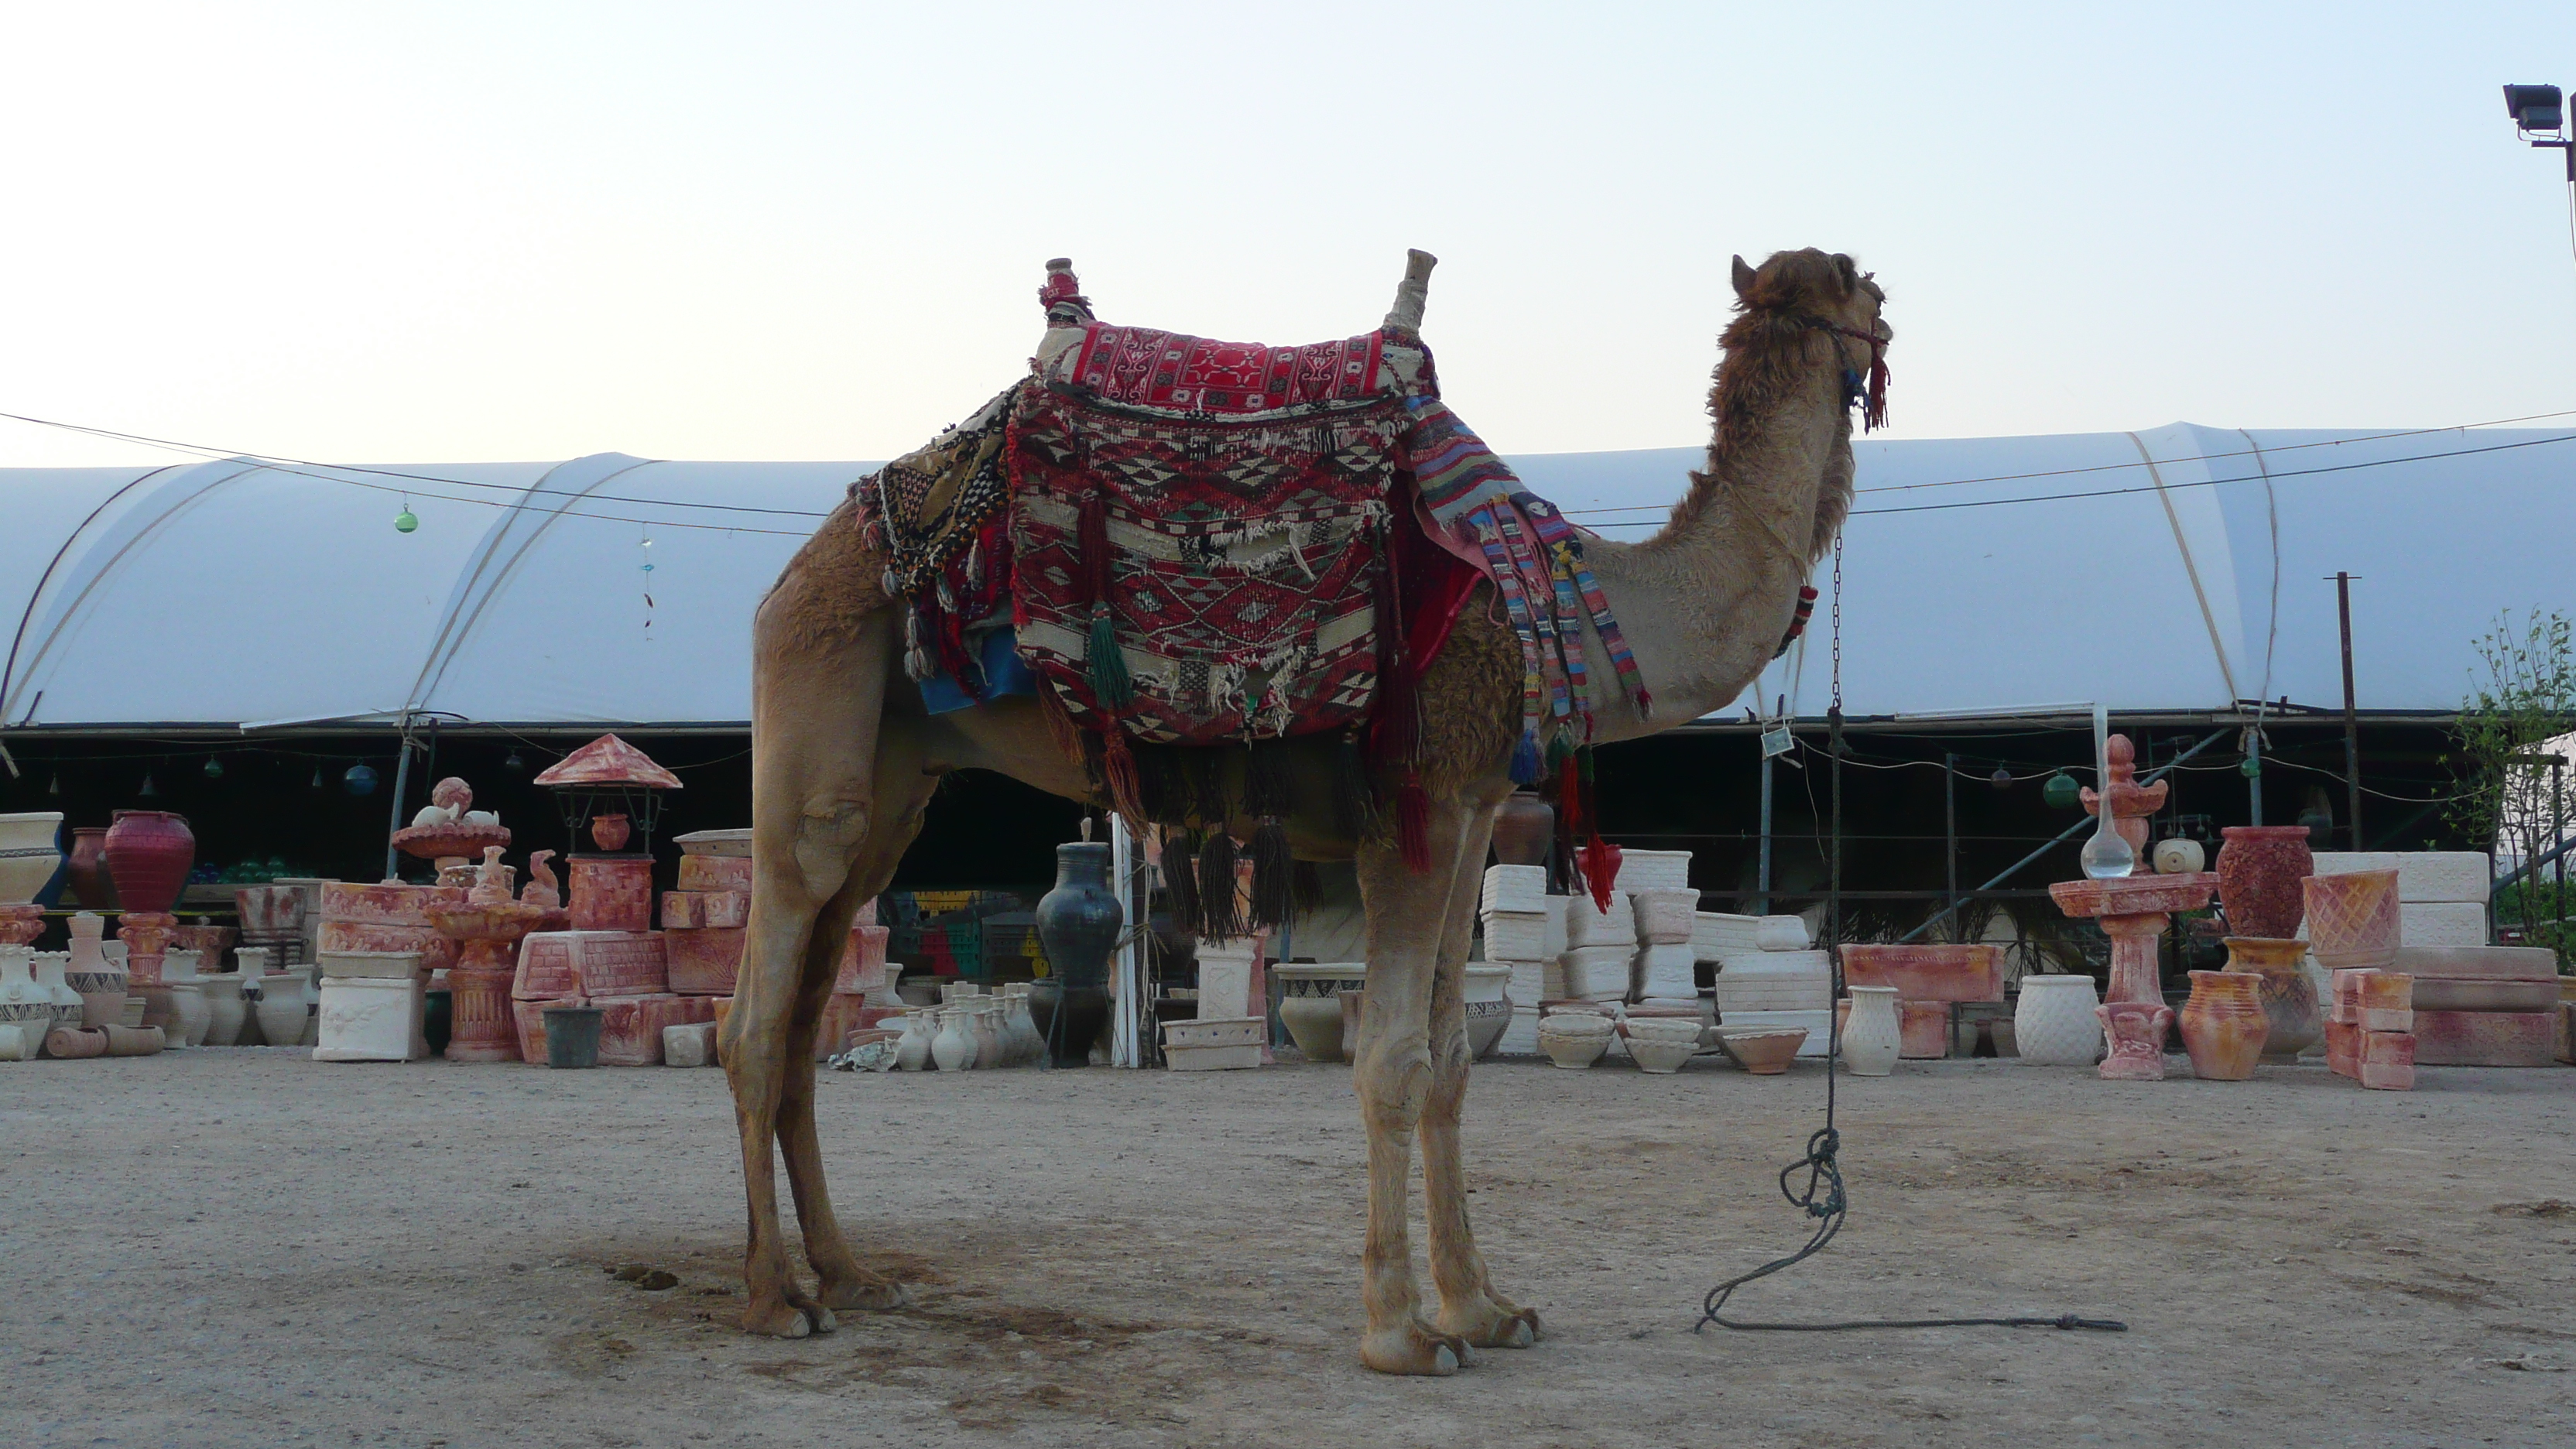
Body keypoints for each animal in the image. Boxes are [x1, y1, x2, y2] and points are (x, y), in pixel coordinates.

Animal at [726, 245, 1896, 1361]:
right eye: (1872, 293)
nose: (1888, 327)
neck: (1558, 606)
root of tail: (797, 571)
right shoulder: (1414, 802)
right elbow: (1391, 1060)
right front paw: (1403, 1334)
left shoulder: (1474, 809)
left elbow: (1452, 1060)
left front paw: (1484, 1309)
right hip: (818, 703)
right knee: (760, 1005)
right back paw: (777, 1300)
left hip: (897, 772)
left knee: (811, 1002)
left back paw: (847, 1276)